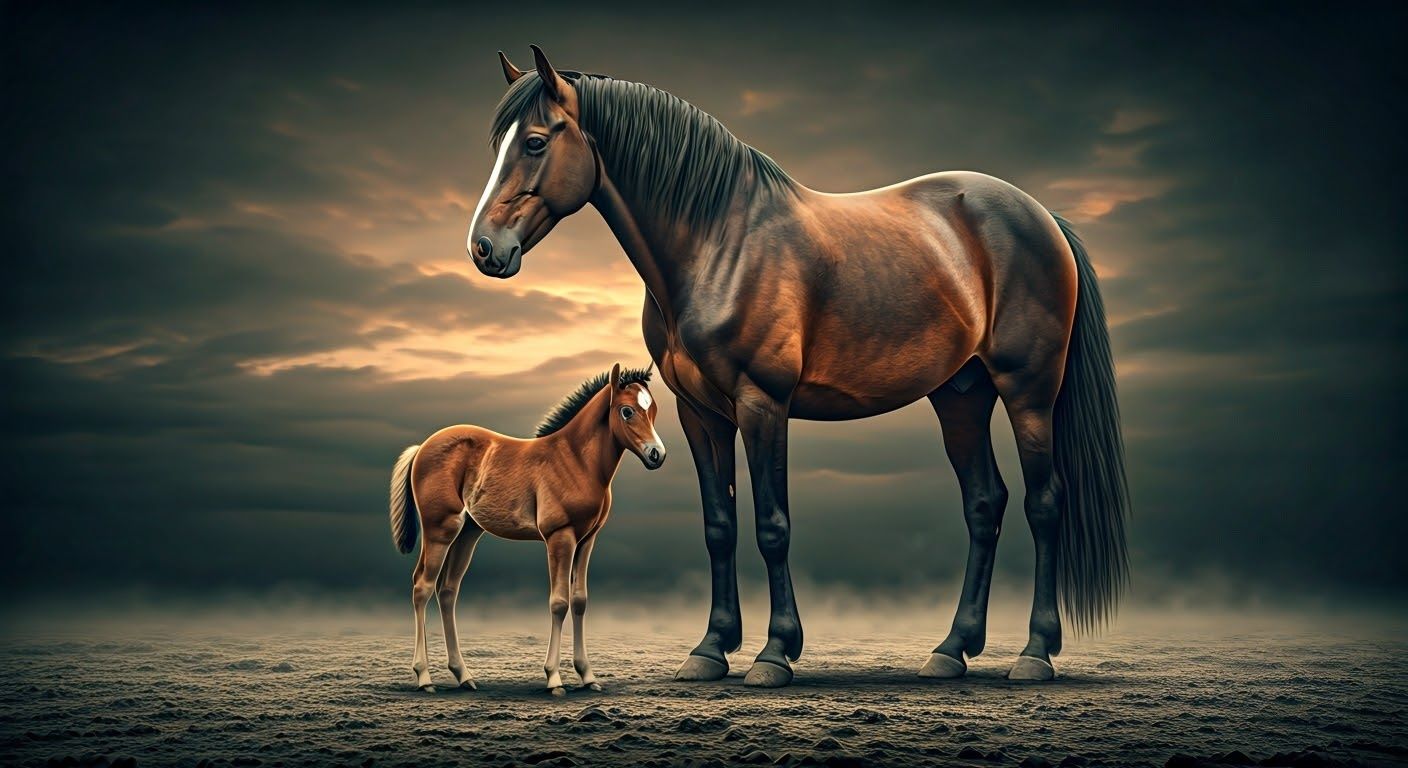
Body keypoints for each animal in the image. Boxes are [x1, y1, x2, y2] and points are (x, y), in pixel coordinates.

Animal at [388, 363, 665, 694]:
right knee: (422, 586)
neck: (575, 460)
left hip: (467, 533)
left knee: (448, 591)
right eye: (626, 411)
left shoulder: (587, 540)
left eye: (654, 409)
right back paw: (424, 677)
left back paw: (464, 675)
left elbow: (580, 601)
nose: (657, 455)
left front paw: (588, 676)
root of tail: (422, 448)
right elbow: (559, 603)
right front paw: (554, 679)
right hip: (440, 530)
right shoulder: (560, 537)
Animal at [465, 46, 1130, 688]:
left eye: (535, 141)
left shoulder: (764, 403)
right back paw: (950, 651)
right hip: (960, 394)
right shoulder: (699, 412)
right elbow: (719, 526)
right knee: (984, 504)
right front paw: (710, 650)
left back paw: (1036, 653)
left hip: (1027, 390)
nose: (484, 248)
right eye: (498, 144)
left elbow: (772, 525)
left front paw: (775, 653)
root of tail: (1040, 216)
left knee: (1044, 503)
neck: (718, 245)